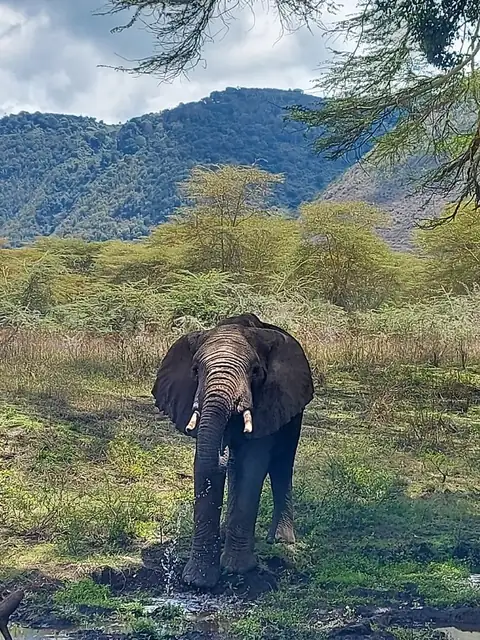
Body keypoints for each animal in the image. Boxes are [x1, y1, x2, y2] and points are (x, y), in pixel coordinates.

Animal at [152, 313, 314, 588]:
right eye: (195, 371)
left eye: (255, 371)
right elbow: (207, 460)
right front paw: (199, 580)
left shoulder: (269, 401)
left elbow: (252, 463)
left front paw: (238, 569)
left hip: (294, 406)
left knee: (282, 463)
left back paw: (280, 541)